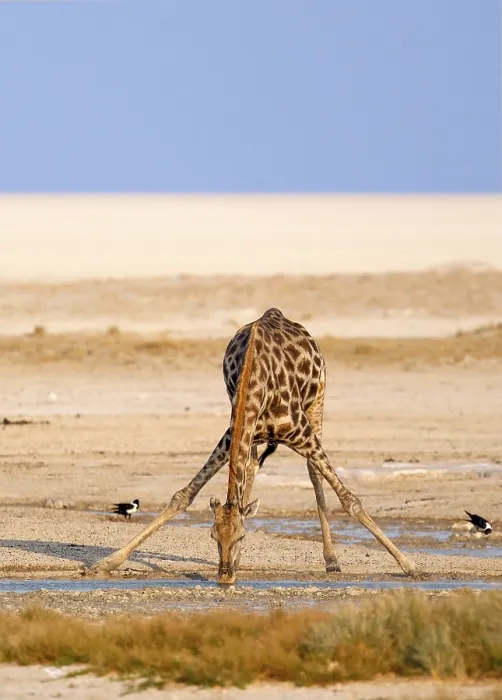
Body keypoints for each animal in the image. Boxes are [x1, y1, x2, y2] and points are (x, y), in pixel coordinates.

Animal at [86, 308, 417, 582]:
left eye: (242, 537)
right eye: (212, 536)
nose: (225, 577)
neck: (258, 382)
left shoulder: (301, 433)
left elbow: (350, 500)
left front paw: (409, 565)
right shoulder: (231, 435)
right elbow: (183, 496)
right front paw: (106, 563)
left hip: (318, 401)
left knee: (313, 473)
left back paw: (332, 560)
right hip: (253, 436)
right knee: (252, 470)